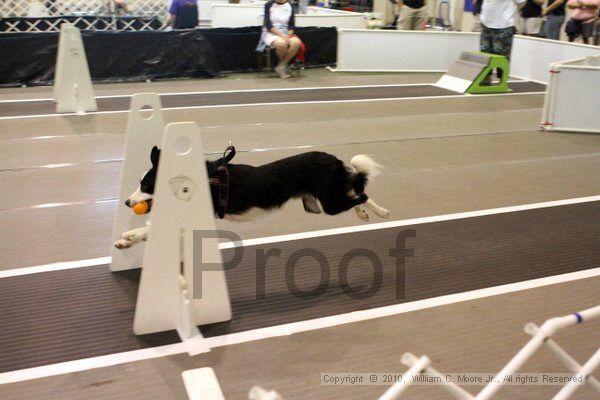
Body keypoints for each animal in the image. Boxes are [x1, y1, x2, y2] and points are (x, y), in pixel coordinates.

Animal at [115, 145, 392, 248]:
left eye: (146, 184)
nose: (127, 202)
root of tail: (332, 158)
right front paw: (127, 239)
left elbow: (153, 228)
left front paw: (129, 237)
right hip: (323, 200)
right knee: (356, 190)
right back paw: (366, 213)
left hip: (330, 202)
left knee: (361, 193)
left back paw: (380, 211)